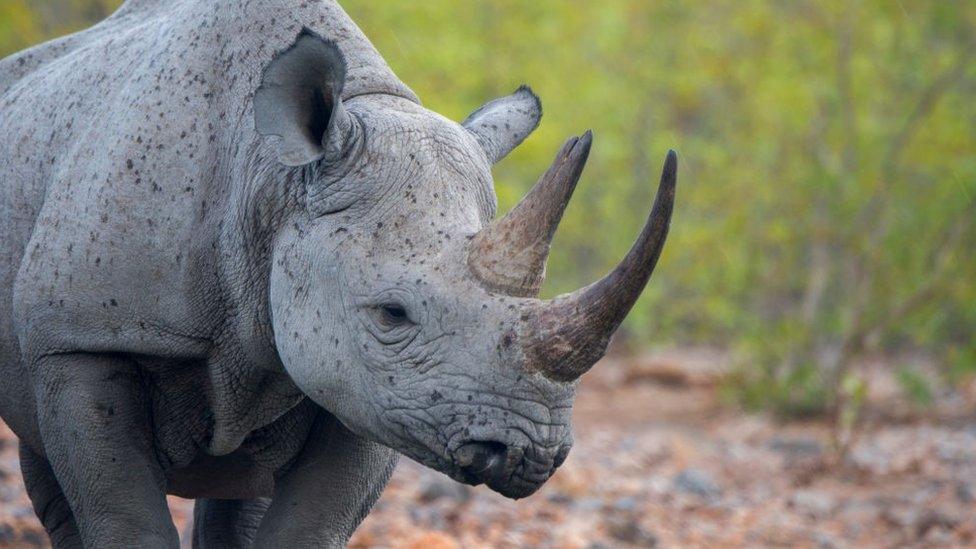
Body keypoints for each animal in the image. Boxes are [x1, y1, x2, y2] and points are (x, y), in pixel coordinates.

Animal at [0, 1, 676, 544]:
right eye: (392, 314)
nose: (526, 455)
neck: (270, 179)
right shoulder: (81, 337)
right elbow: (124, 521)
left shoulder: (372, 389)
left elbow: (307, 529)